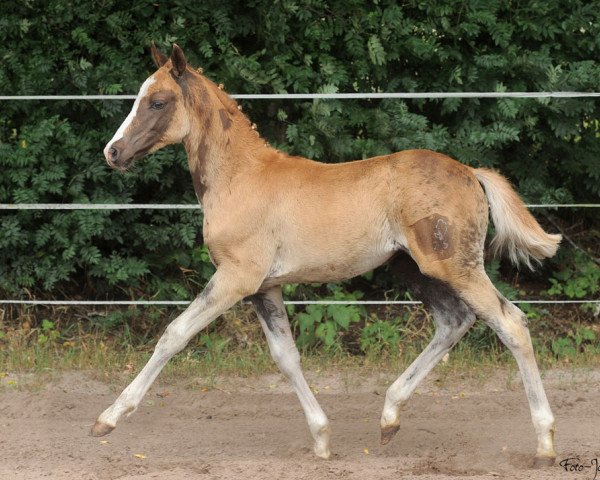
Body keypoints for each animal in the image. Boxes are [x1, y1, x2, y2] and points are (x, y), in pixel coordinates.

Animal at [94, 44, 556, 464]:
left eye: (157, 101)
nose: (112, 152)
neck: (240, 178)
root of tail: (471, 173)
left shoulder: (235, 278)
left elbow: (174, 334)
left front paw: (108, 418)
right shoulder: (264, 288)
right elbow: (286, 357)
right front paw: (321, 439)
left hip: (455, 266)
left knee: (511, 323)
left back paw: (545, 443)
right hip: (415, 270)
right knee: (453, 322)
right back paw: (389, 418)